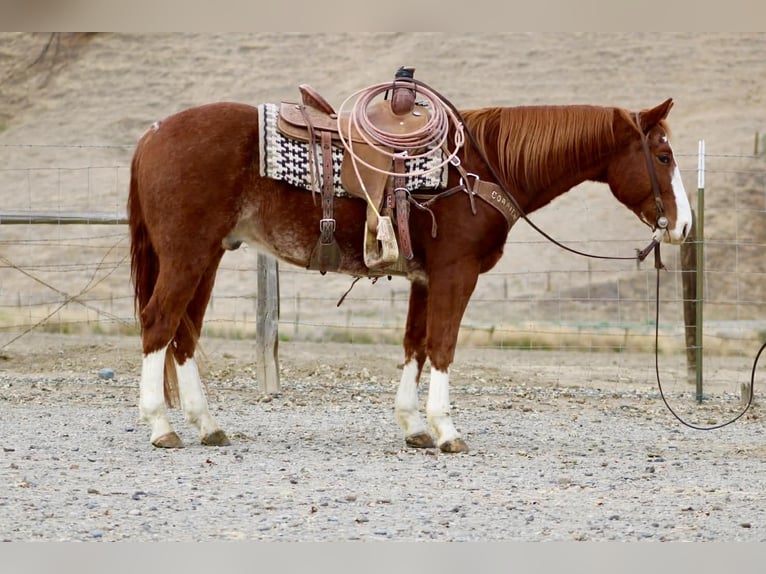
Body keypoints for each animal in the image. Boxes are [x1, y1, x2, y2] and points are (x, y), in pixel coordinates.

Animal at [127, 89, 692, 453]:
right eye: (663, 156)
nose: (683, 225)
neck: (477, 169)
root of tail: (153, 134)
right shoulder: (456, 274)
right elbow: (442, 345)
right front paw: (446, 430)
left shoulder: (426, 278)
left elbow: (415, 346)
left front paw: (414, 427)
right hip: (186, 253)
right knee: (159, 322)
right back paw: (161, 426)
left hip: (209, 254)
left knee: (184, 332)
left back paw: (207, 425)